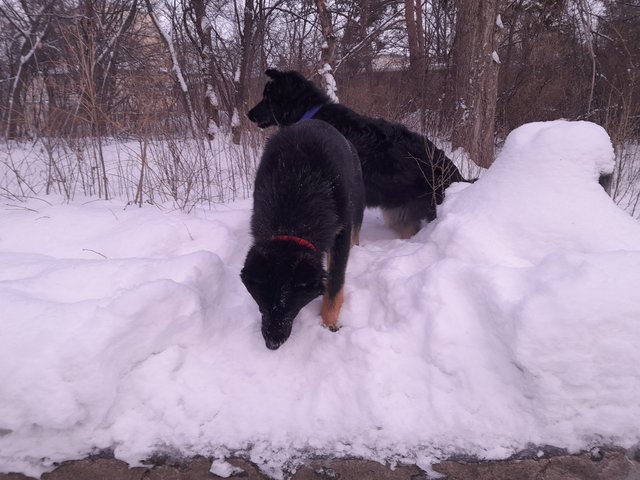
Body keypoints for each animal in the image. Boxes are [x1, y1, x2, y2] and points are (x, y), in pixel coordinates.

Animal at [240, 119, 365, 350]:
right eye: (262, 305)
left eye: (290, 306)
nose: (272, 343)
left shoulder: (341, 231)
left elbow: (335, 283)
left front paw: (328, 324)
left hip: (358, 203)